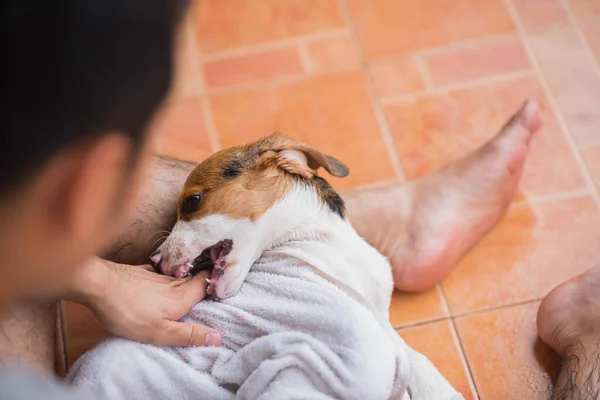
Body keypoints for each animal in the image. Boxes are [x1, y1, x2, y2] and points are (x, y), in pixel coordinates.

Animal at [70, 134, 464, 400]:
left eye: (192, 201)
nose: (153, 261)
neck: (313, 237)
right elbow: (406, 354)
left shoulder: (375, 312)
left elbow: (409, 352)